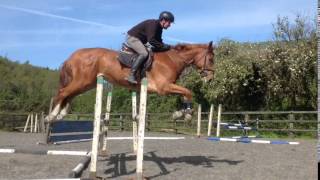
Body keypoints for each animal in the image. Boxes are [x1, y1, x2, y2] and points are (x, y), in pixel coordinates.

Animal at [45, 41, 215, 121]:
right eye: (211, 59)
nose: (210, 78)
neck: (172, 59)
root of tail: (73, 56)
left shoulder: (164, 88)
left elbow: (185, 94)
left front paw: (181, 113)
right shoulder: (164, 87)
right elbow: (188, 92)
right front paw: (185, 114)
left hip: (87, 84)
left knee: (69, 95)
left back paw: (61, 114)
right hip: (82, 82)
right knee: (62, 92)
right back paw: (52, 116)